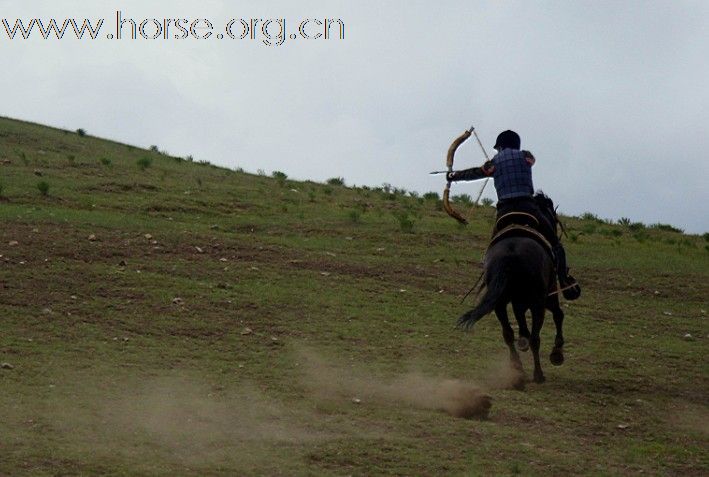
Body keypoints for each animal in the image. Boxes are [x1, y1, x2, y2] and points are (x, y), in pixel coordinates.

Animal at [460, 236, 564, 384]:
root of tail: (510, 255)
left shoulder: (519, 304)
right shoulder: (545, 297)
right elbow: (557, 315)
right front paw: (557, 352)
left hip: (501, 303)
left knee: (508, 334)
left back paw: (518, 368)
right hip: (538, 302)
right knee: (535, 337)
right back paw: (538, 374)